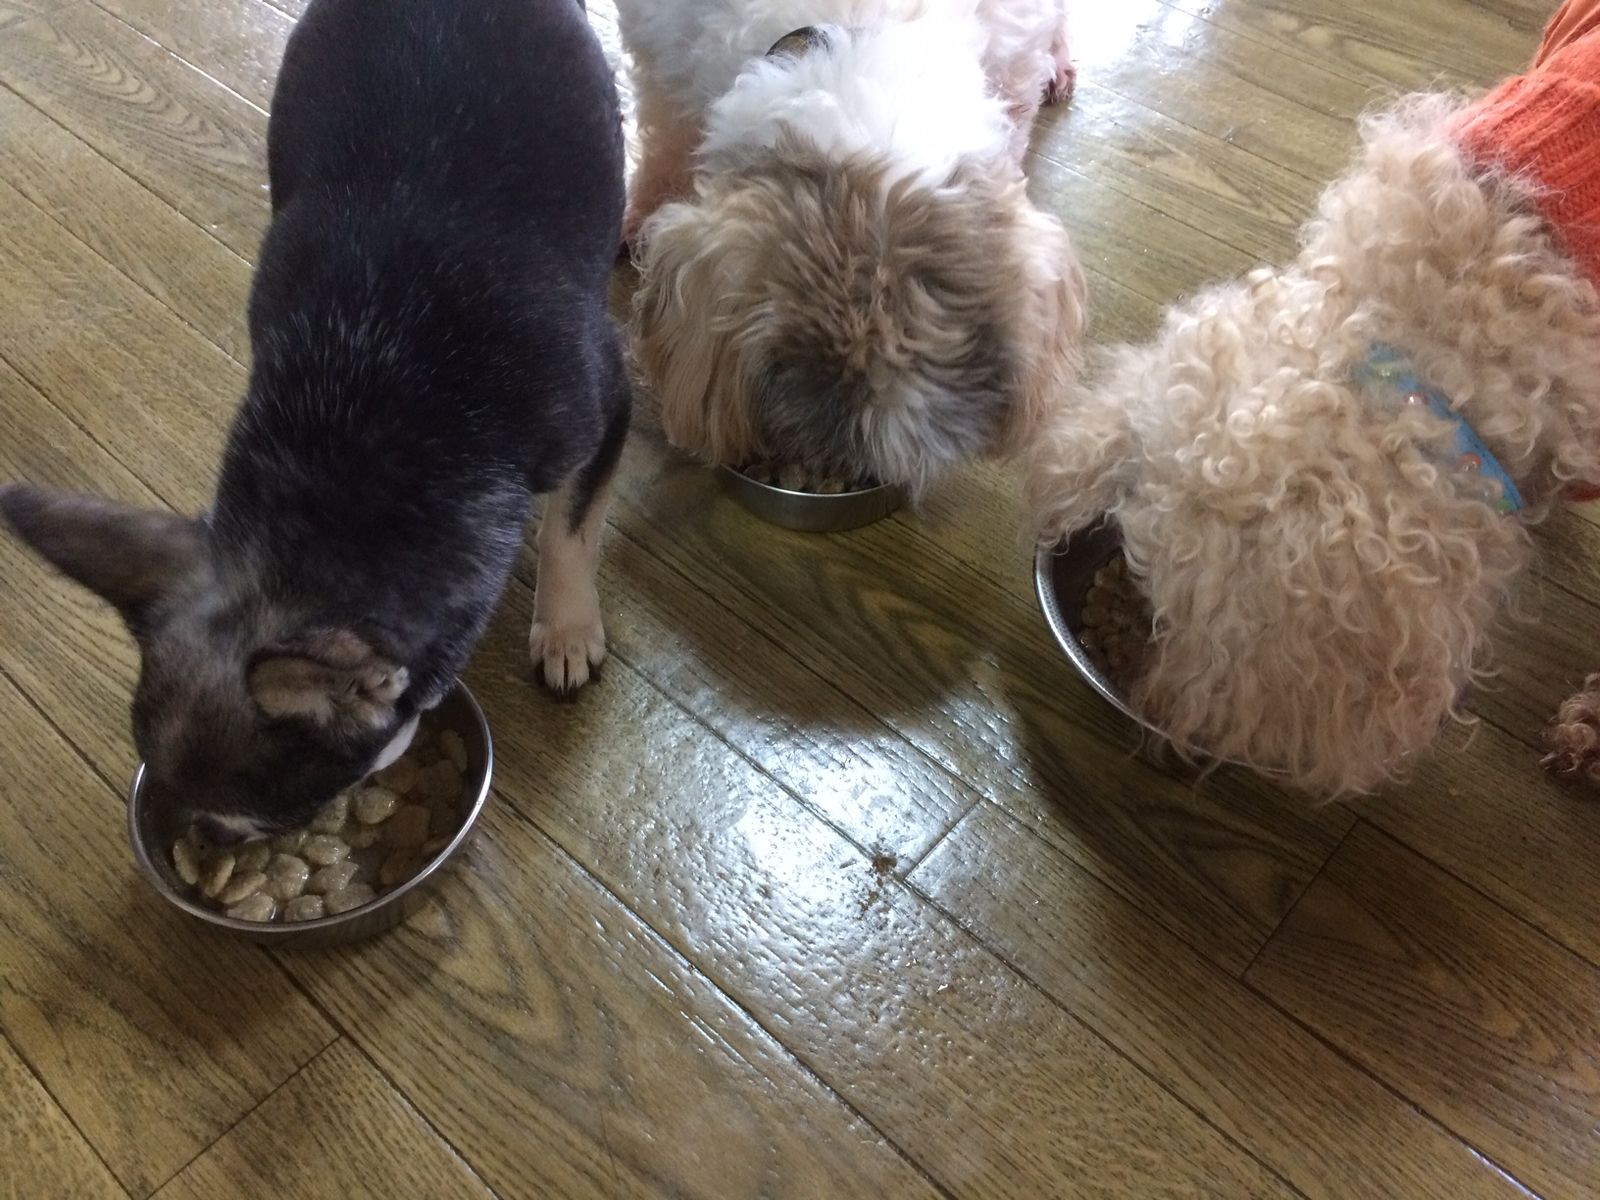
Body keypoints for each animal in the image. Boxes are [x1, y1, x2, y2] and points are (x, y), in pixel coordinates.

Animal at [616, 0, 1085, 493]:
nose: (836, 475)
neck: (866, 28)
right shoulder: (658, 41)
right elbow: (666, 126)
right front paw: (645, 208)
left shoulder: (1016, 51)